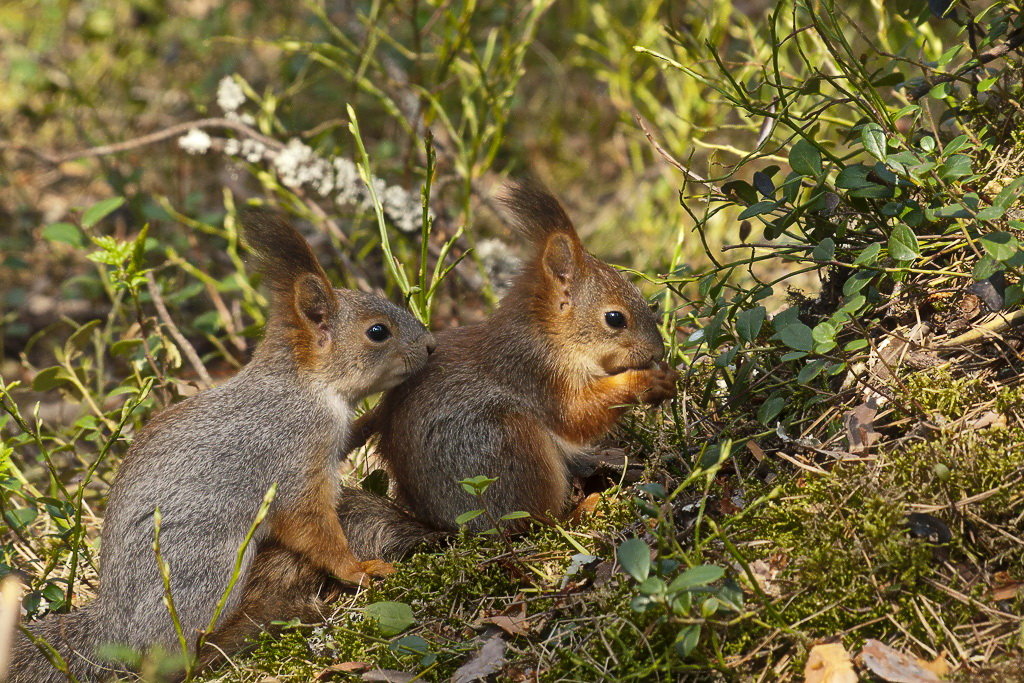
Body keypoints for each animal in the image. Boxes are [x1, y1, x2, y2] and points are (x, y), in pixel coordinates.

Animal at [12, 210, 436, 679]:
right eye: (378, 332)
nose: (431, 346)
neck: (307, 386)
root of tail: (115, 628)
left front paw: (376, 415)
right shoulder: (293, 459)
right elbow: (313, 529)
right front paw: (358, 569)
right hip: (206, 569)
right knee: (169, 653)